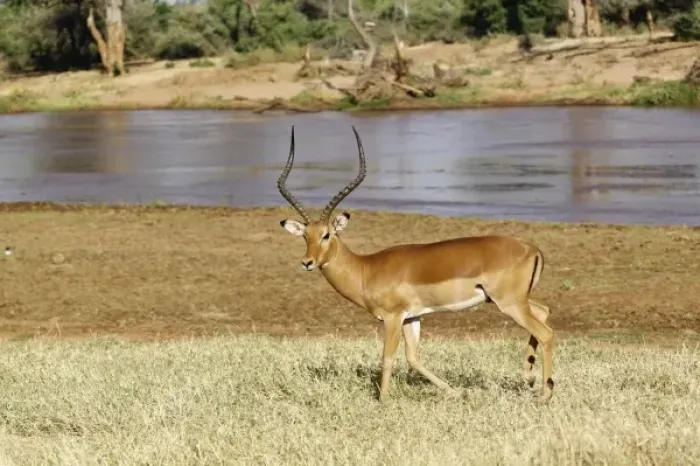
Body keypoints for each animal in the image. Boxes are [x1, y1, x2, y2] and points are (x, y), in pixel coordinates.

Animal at [277, 126, 554, 402]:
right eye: (305, 236)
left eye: (327, 235)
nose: (307, 262)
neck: (366, 269)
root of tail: (532, 248)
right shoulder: (412, 317)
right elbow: (413, 358)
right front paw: (455, 392)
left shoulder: (392, 317)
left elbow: (388, 357)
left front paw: (382, 400)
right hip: (512, 301)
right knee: (543, 312)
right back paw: (529, 378)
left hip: (509, 303)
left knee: (546, 333)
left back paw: (545, 393)